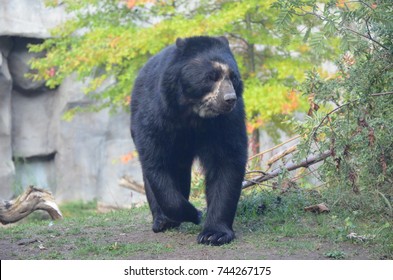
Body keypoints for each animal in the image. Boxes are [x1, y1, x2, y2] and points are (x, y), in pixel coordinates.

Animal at [132, 35, 248, 245]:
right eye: (211, 77)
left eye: (233, 77)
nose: (229, 99)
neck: (194, 114)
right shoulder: (157, 115)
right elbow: (157, 161)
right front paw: (193, 213)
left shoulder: (225, 123)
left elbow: (227, 161)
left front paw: (214, 234)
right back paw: (162, 221)